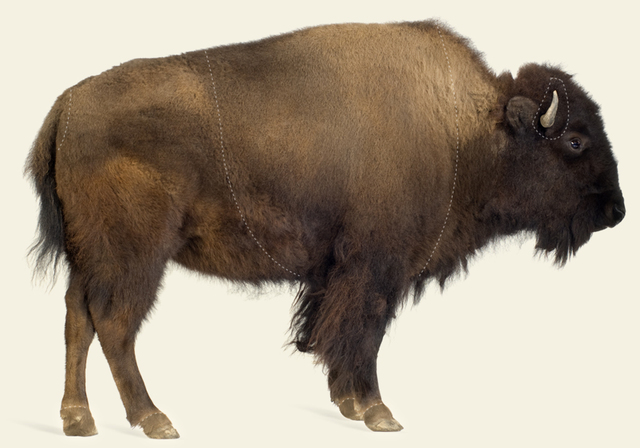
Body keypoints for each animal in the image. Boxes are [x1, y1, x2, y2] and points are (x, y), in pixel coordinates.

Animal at [26, 20, 625, 438]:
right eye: (575, 140)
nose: (616, 211)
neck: (466, 129)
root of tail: (65, 107)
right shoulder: (376, 267)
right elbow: (364, 334)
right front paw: (378, 412)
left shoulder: (337, 272)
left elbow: (342, 333)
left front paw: (348, 404)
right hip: (135, 257)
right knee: (114, 325)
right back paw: (155, 419)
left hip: (90, 257)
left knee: (77, 319)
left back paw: (78, 419)